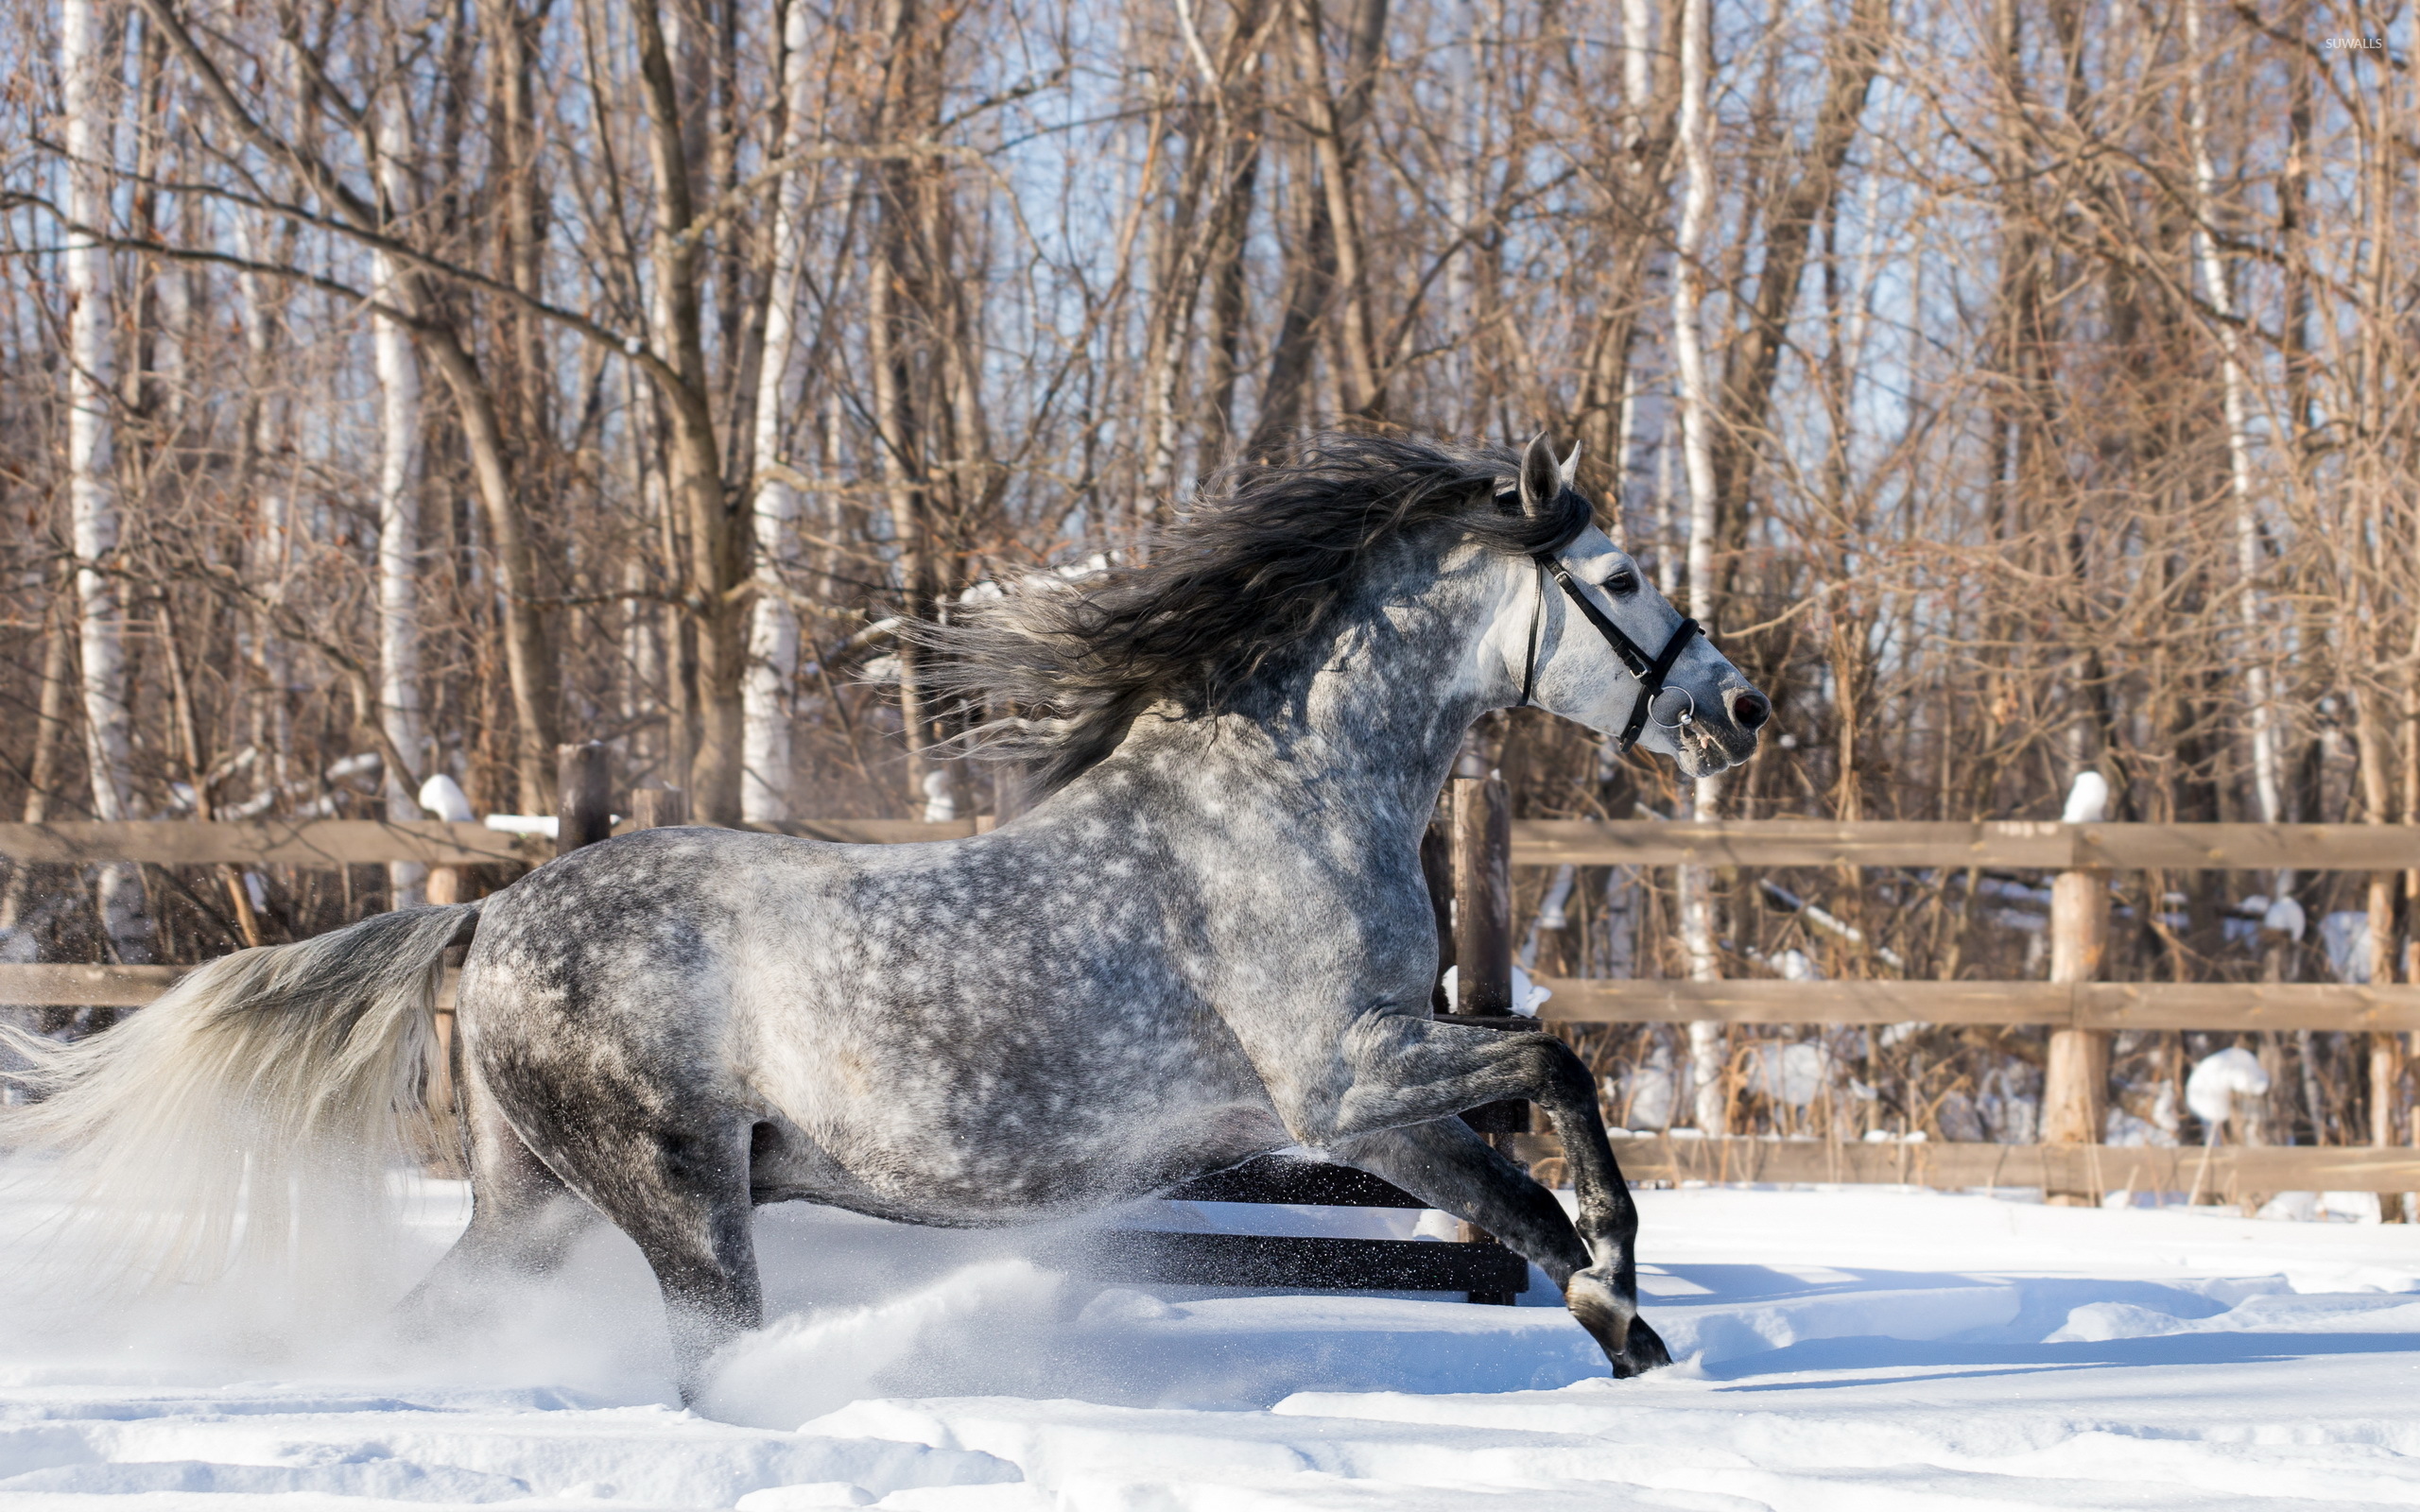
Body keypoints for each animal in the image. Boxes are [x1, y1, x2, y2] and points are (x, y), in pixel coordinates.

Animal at [2, 431, 1768, 1399]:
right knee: (708, 1351)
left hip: (537, 1201)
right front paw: (1622, 1292)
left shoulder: (1378, 1097)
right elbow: (1554, 1097)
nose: (1743, 709)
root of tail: (494, 919)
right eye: (1619, 577)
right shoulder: (1343, 1082)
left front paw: (1629, 1327)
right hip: (679, 1195)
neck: (1284, 800)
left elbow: (1528, 1168)